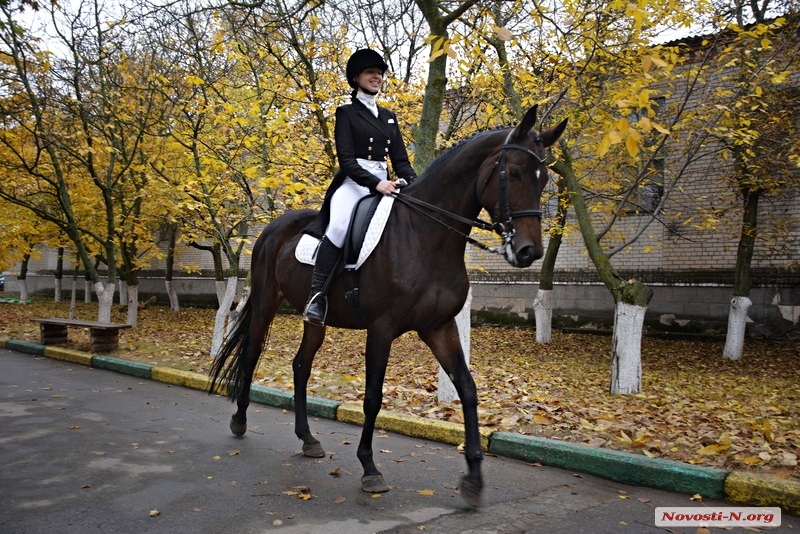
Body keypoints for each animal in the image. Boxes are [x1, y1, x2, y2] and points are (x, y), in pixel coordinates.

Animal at [209, 105, 564, 510]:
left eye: (545, 180)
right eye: (514, 172)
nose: (529, 251)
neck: (424, 235)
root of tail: (273, 228)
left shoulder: (440, 327)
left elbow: (467, 389)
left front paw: (473, 477)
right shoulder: (381, 329)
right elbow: (373, 398)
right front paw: (369, 468)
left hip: (316, 319)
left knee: (301, 365)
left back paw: (308, 439)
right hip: (267, 303)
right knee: (252, 353)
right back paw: (239, 420)